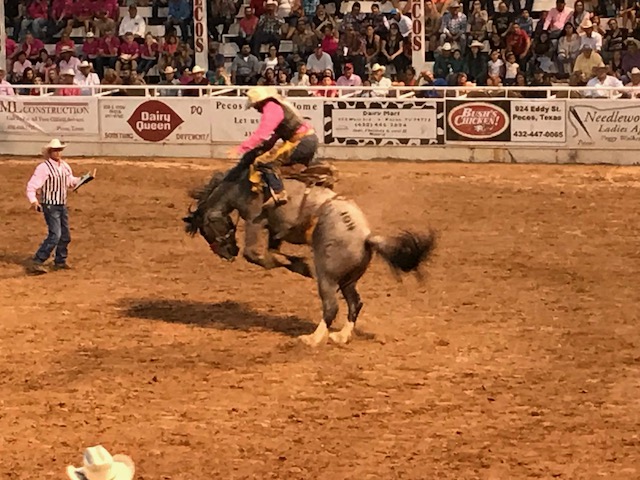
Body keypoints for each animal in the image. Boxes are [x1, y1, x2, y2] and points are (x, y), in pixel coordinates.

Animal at [183, 165, 437, 347]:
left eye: (207, 230)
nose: (227, 254)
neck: (241, 185)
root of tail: (366, 237)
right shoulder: (276, 230)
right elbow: (273, 250)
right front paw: (296, 263)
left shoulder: (256, 219)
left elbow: (255, 254)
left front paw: (301, 265)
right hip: (348, 280)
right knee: (355, 303)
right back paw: (341, 336)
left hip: (328, 277)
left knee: (331, 307)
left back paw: (313, 339)